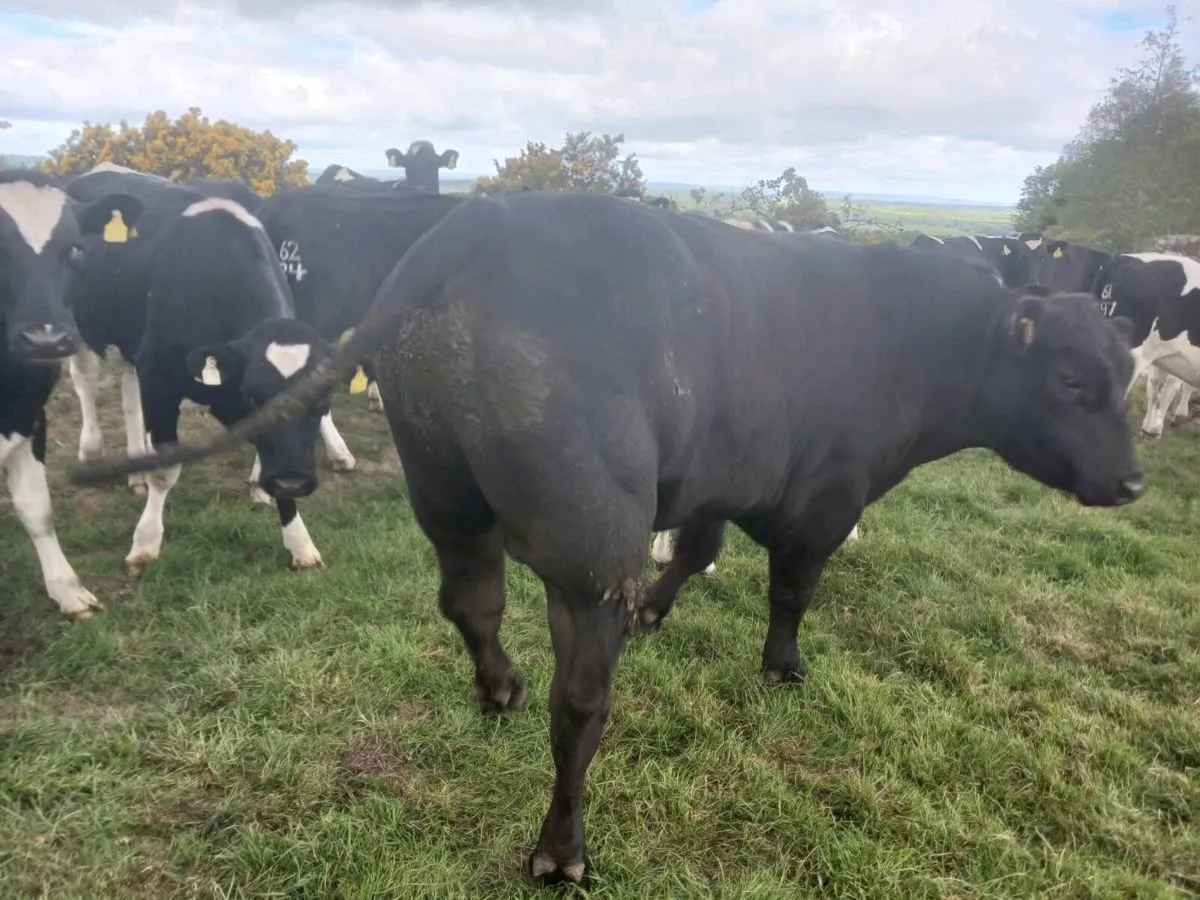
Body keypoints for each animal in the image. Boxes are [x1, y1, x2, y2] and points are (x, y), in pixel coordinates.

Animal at [64, 168, 338, 575]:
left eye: (322, 398)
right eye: (252, 395)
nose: (292, 481)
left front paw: (299, 541)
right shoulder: (159, 378)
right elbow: (166, 470)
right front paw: (145, 542)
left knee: (128, 395)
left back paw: (135, 469)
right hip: (80, 324)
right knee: (86, 382)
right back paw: (92, 452)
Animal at [1092, 251, 1200, 436]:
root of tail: (1123, 258)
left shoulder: (1164, 355)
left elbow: (1156, 388)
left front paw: (1150, 427)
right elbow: (1170, 388)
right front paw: (1156, 427)